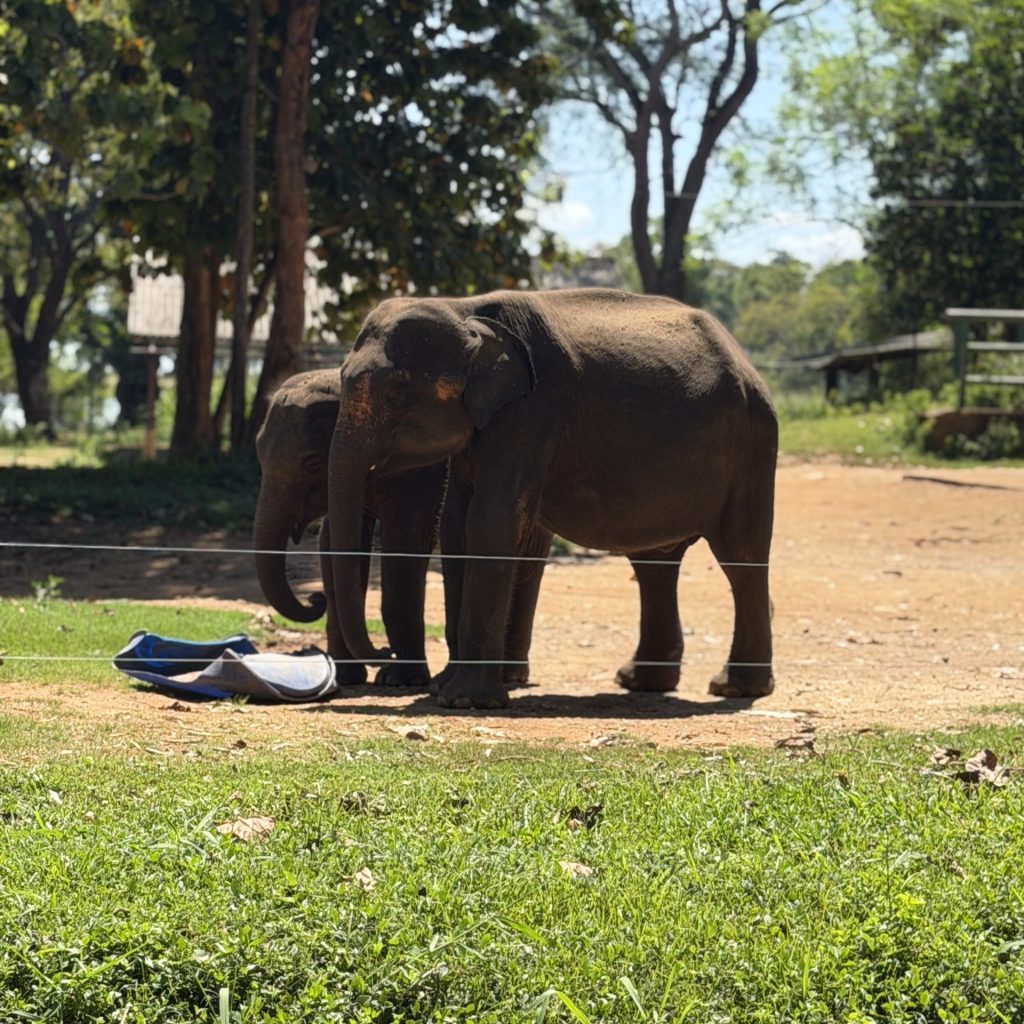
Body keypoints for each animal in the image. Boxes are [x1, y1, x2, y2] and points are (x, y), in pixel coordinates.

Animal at [253, 369, 547, 689]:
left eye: (314, 463)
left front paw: (399, 679)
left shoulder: (420, 473)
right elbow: (334, 547)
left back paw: (509, 676)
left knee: (526, 565)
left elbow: (404, 542)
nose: (314, 599)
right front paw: (346, 678)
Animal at [327, 289, 778, 710]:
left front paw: (465, 701)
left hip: (752, 446)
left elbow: (490, 520)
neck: (466, 309)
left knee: (741, 558)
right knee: (654, 564)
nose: (383, 652)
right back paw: (639, 682)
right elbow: (456, 527)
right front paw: (442, 689)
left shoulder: (534, 410)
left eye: (399, 390)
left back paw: (735, 688)